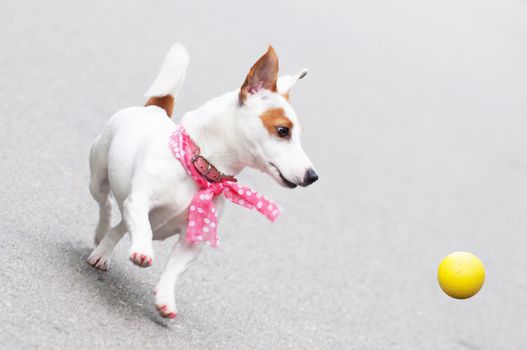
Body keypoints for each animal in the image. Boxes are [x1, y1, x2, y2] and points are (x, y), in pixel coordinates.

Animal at [87, 42, 318, 318]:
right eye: (283, 131)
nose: (313, 176)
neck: (200, 170)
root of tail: (154, 108)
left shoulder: (192, 240)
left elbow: (174, 270)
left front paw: (165, 298)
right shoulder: (139, 202)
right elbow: (142, 224)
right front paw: (143, 249)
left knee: (120, 227)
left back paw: (103, 252)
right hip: (98, 179)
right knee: (107, 205)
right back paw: (102, 233)